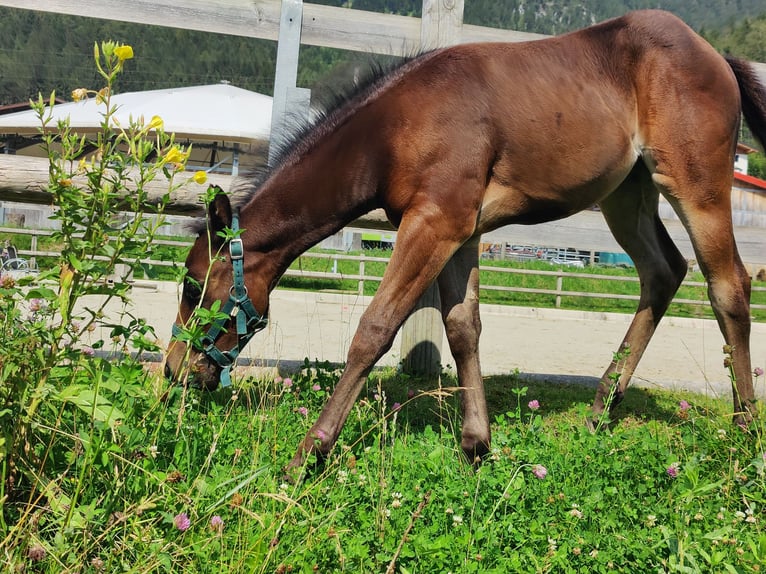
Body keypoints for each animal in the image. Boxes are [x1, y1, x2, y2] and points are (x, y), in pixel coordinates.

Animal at [168, 11, 766, 474]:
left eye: (194, 286)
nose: (175, 370)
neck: (392, 129)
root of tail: (717, 56)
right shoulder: (462, 231)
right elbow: (462, 329)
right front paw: (476, 445)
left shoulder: (435, 223)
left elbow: (375, 329)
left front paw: (308, 454)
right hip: (627, 193)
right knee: (663, 271)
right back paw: (601, 408)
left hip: (696, 186)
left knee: (729, 284)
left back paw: (743, 428)